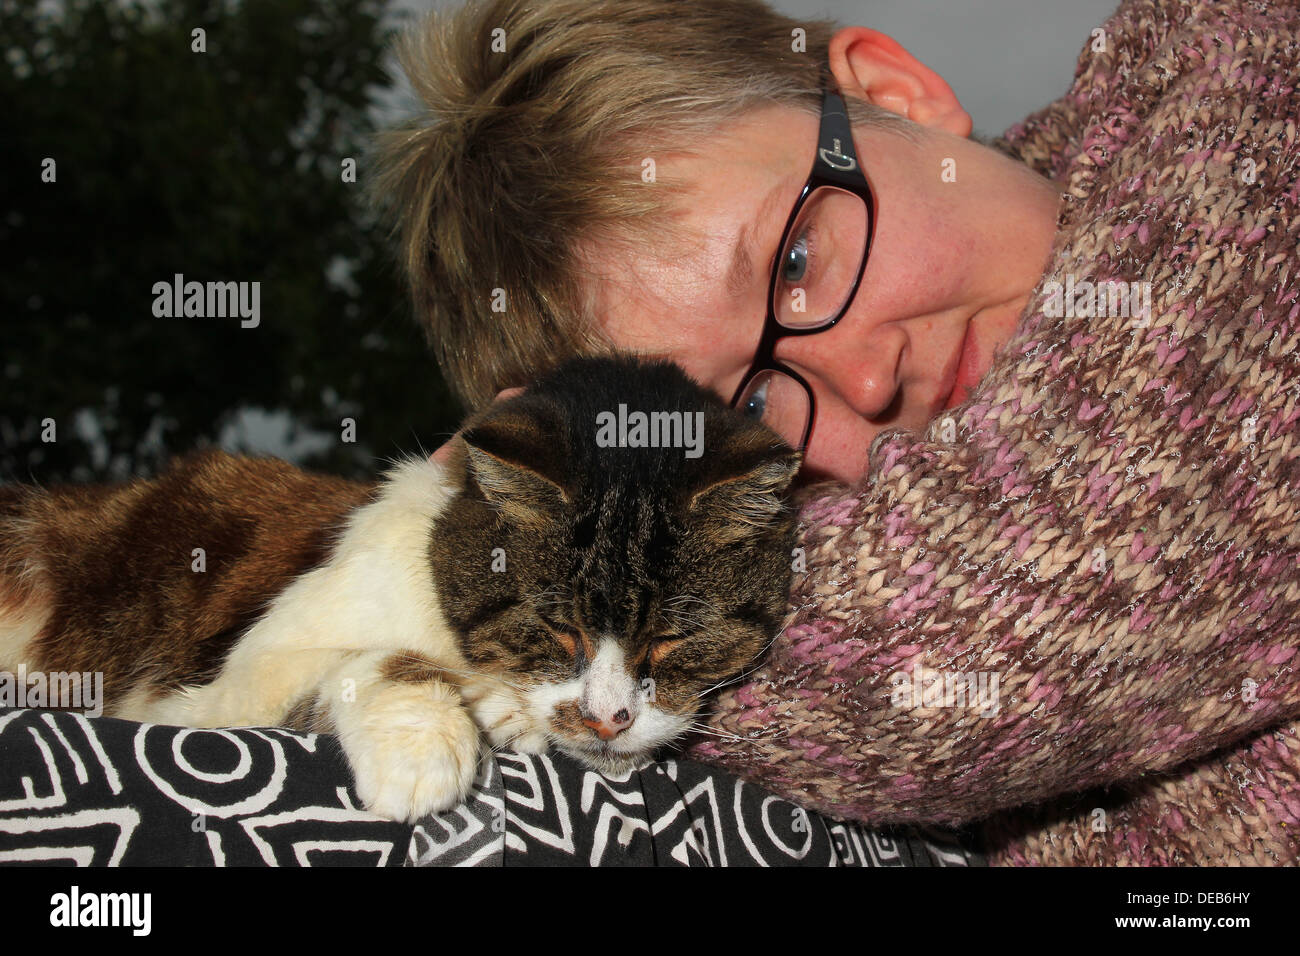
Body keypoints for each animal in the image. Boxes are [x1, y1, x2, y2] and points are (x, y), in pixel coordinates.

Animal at [0, 358, 795, 822]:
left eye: (676, 638)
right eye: (556, 627)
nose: (609, 721)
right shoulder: (199, 700)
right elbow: (366, 661)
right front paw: (433, 739)